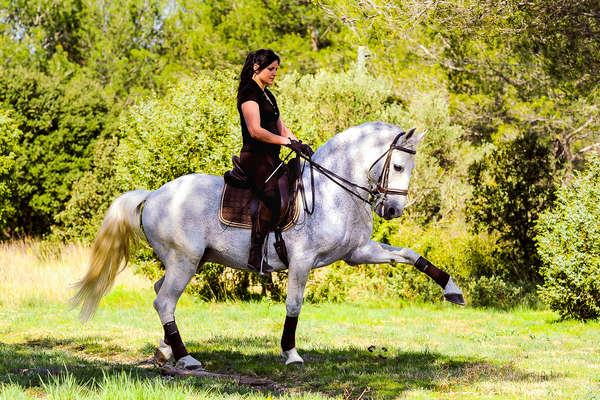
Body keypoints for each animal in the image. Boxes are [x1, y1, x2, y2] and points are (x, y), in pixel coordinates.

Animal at [70, 121, 464, 368]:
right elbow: (294, 304)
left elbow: (410, 256)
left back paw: (167, 351)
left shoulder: (356, 253)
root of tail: (152, 195)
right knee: (164, 301)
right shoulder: (303, 259)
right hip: (184, 261)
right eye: (397, 166)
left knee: (159, 294)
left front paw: (452, 289)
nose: (393, 210)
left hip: (190, 261)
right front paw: (291, 353)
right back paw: (186, 357)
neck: (335, 191)